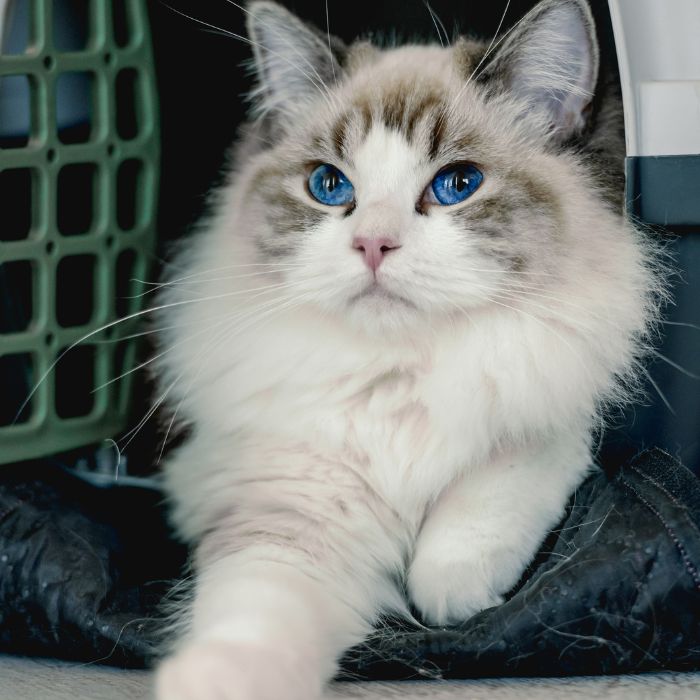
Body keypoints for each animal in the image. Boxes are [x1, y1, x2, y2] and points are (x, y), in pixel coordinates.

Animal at [152, 1, 656, 700]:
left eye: (458, 184)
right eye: (328, 186)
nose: (372, 244)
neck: (400, 371)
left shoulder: (553, 407)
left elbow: (482, 504)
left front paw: (452, 595)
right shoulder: (292, 515)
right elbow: (252, 624)